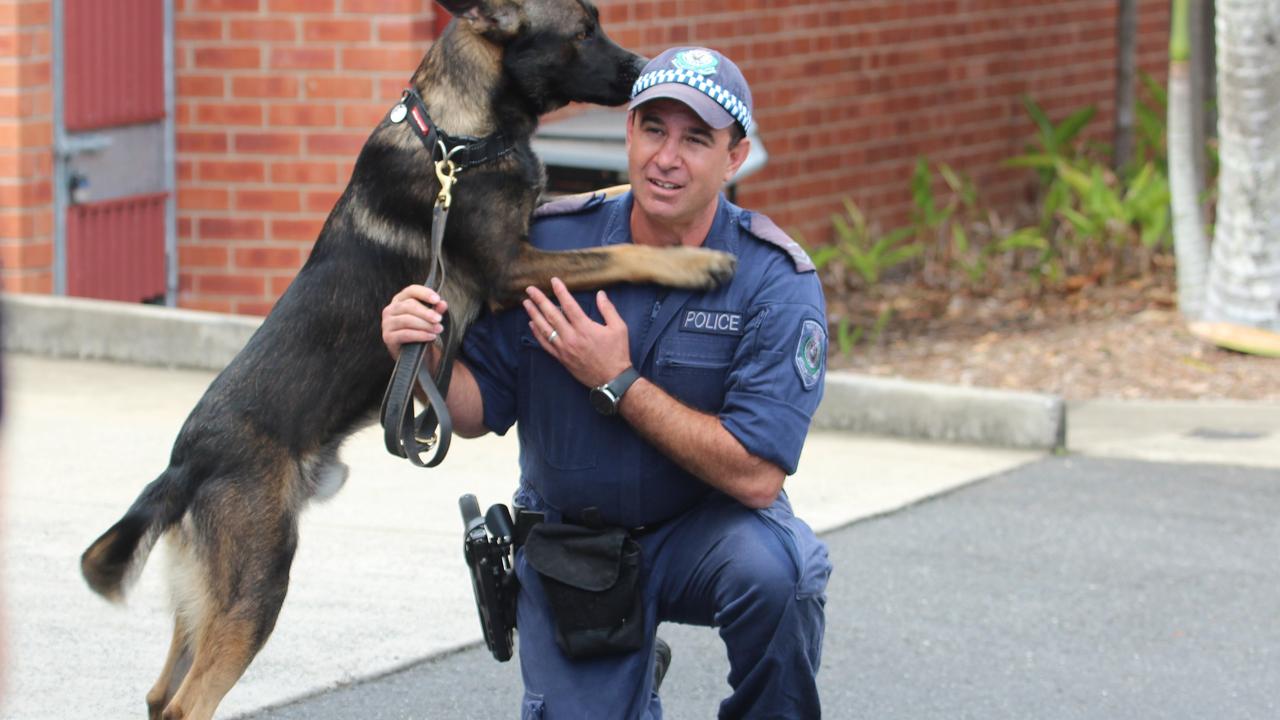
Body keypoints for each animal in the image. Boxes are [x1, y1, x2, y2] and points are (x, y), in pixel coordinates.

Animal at [80, 2, 737, 712]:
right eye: (583, 32)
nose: (645, 69)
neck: (458, 136)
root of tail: (182, 464)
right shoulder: (513, 269)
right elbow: (620, 249)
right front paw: (695, 260)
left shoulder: (532, 229)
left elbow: (601, 197)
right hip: (257, 584)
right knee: (186, 701)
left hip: (203, 596)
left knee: (157, 693)